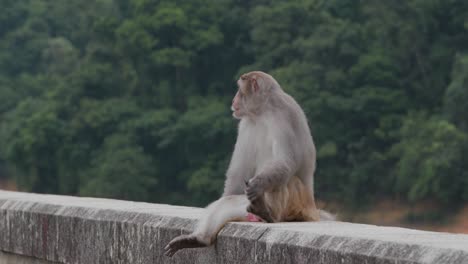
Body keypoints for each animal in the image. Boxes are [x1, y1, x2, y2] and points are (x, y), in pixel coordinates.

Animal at [165, 71, 332, 256]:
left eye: (239, 90)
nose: (233, 101)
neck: (262, 112)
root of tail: (312, 210)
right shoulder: (246, 123)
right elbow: (239, 171)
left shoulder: (285, 114)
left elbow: (286, 161)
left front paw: (258, 184)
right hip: (245, 208)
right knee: (228, 202)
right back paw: (200, 239)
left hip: (297, 205)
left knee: (286, 178)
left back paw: (269, 213)